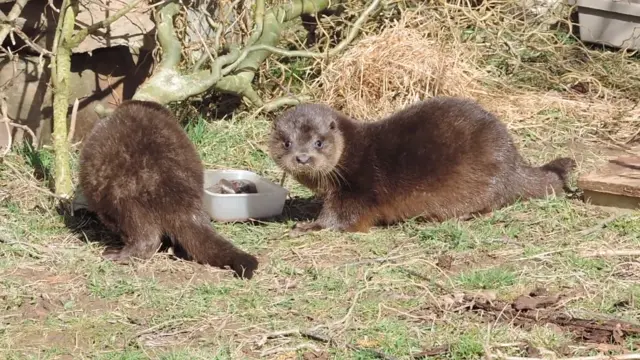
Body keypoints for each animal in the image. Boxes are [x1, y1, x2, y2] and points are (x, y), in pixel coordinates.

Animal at [268, 95, 576, 236]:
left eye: (319, 142)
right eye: (287, 143)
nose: (302, 157)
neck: (350, 154)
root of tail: (514, 161)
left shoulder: (356, 188)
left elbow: (342, 218)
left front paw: (308, 226)